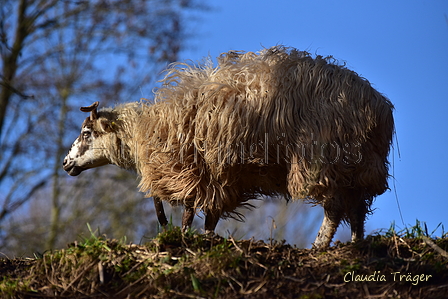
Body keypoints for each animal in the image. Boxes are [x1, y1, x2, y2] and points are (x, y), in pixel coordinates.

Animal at [62, 46, 392, 248]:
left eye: (86, 132)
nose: (65, 164)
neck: (146, 130)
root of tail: (379, 108)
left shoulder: (190, 169)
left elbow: (185, 211)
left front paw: (182, 237)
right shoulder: (219, 178)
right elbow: (210, 216)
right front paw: (205, 240)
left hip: (322, 159)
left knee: (334, 208)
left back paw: (319, 247)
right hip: (360, 165)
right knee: (356, 209)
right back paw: (356, 246)